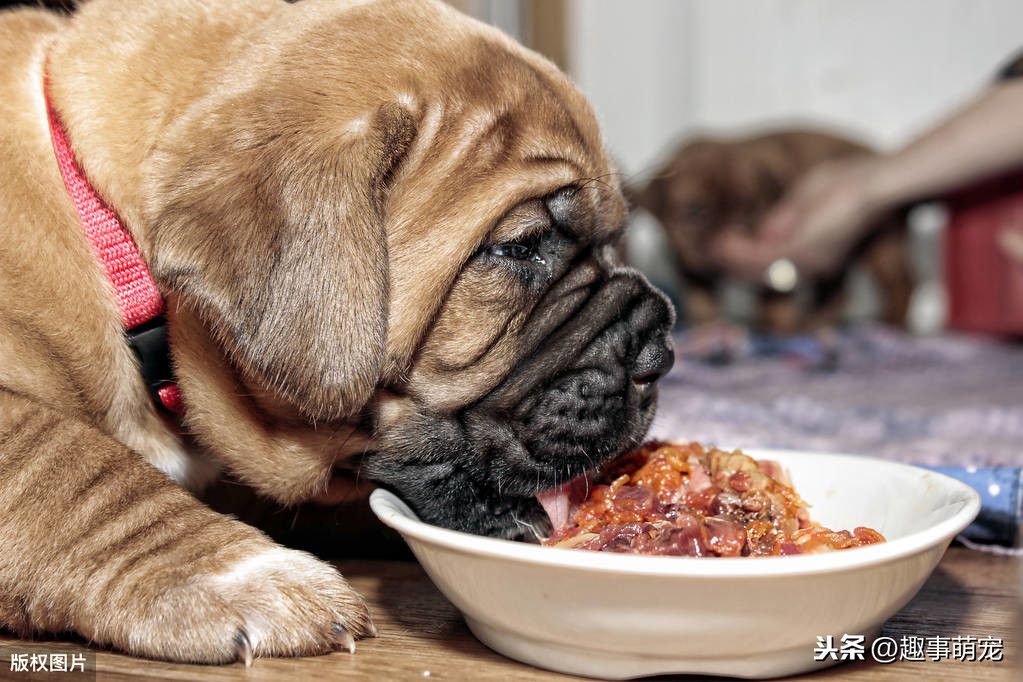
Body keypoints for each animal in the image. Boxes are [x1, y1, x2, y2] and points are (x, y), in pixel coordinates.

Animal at [638, 129, 912, 335]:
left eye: (748, 205)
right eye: (694, 211)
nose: (731, 229)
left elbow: (774, 297)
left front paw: (778, 328)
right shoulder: (690, 265)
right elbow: (701, 297)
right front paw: (708, 327)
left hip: (881, 246)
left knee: (900, 285)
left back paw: (892, 325)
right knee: (837, 290)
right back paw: (817, 321)